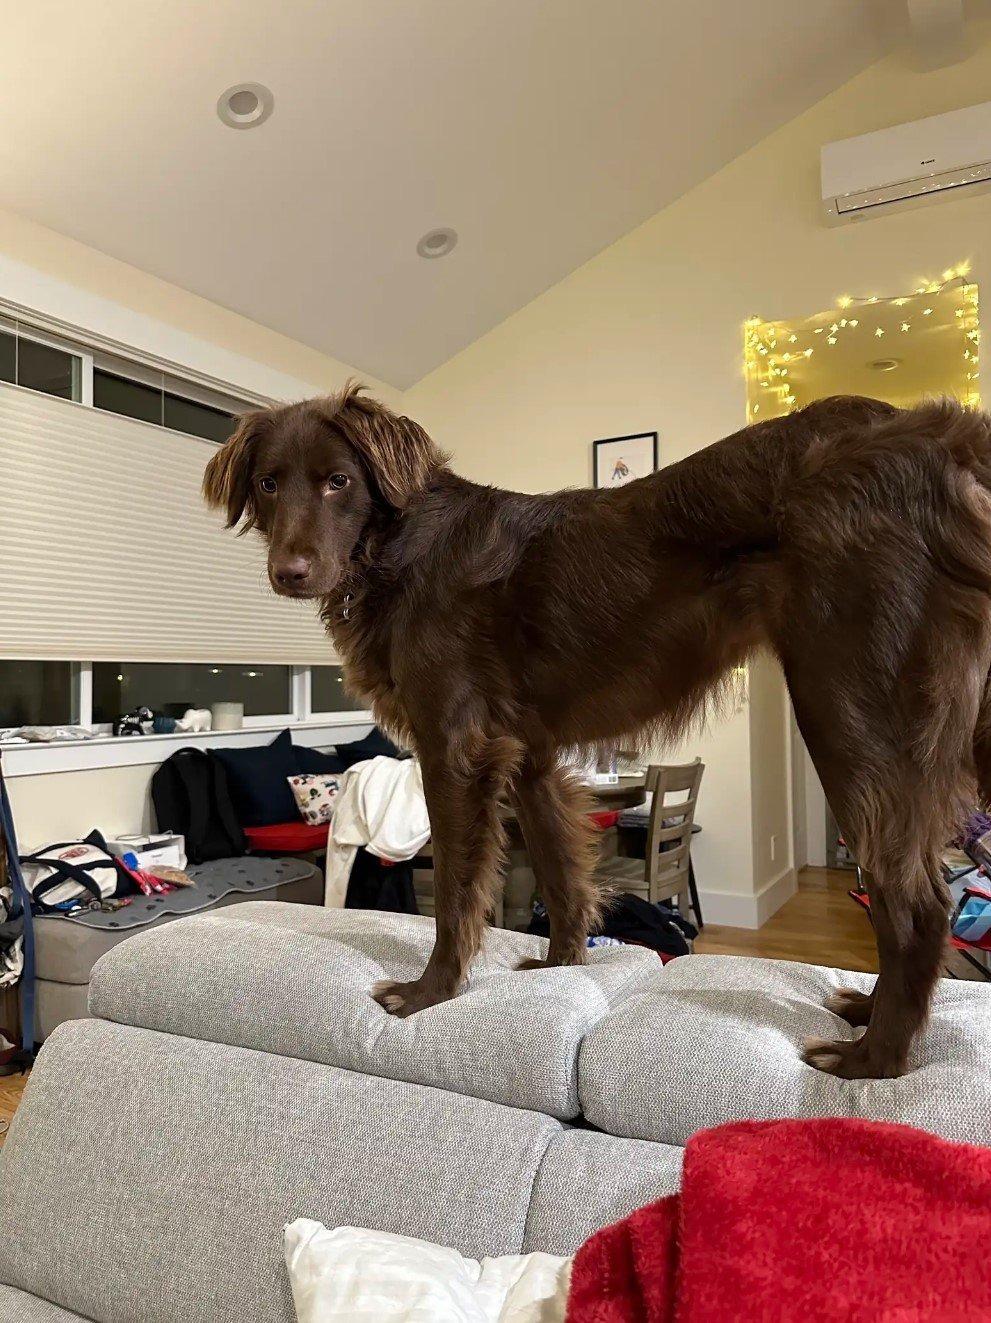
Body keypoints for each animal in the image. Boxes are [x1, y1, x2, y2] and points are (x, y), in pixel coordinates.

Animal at [205, 381, 989, 1074]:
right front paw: (561, 966)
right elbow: (561, 873)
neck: (396, 545)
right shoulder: (528, 754)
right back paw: (866, 1013)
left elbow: (457, 889)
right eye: (269, 484)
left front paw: (431, 993)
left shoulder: (454, 747)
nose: (290, 572)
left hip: (849, 711)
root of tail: (936, 434)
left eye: (338, 481)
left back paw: (873, 1059)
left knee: (918, 904)